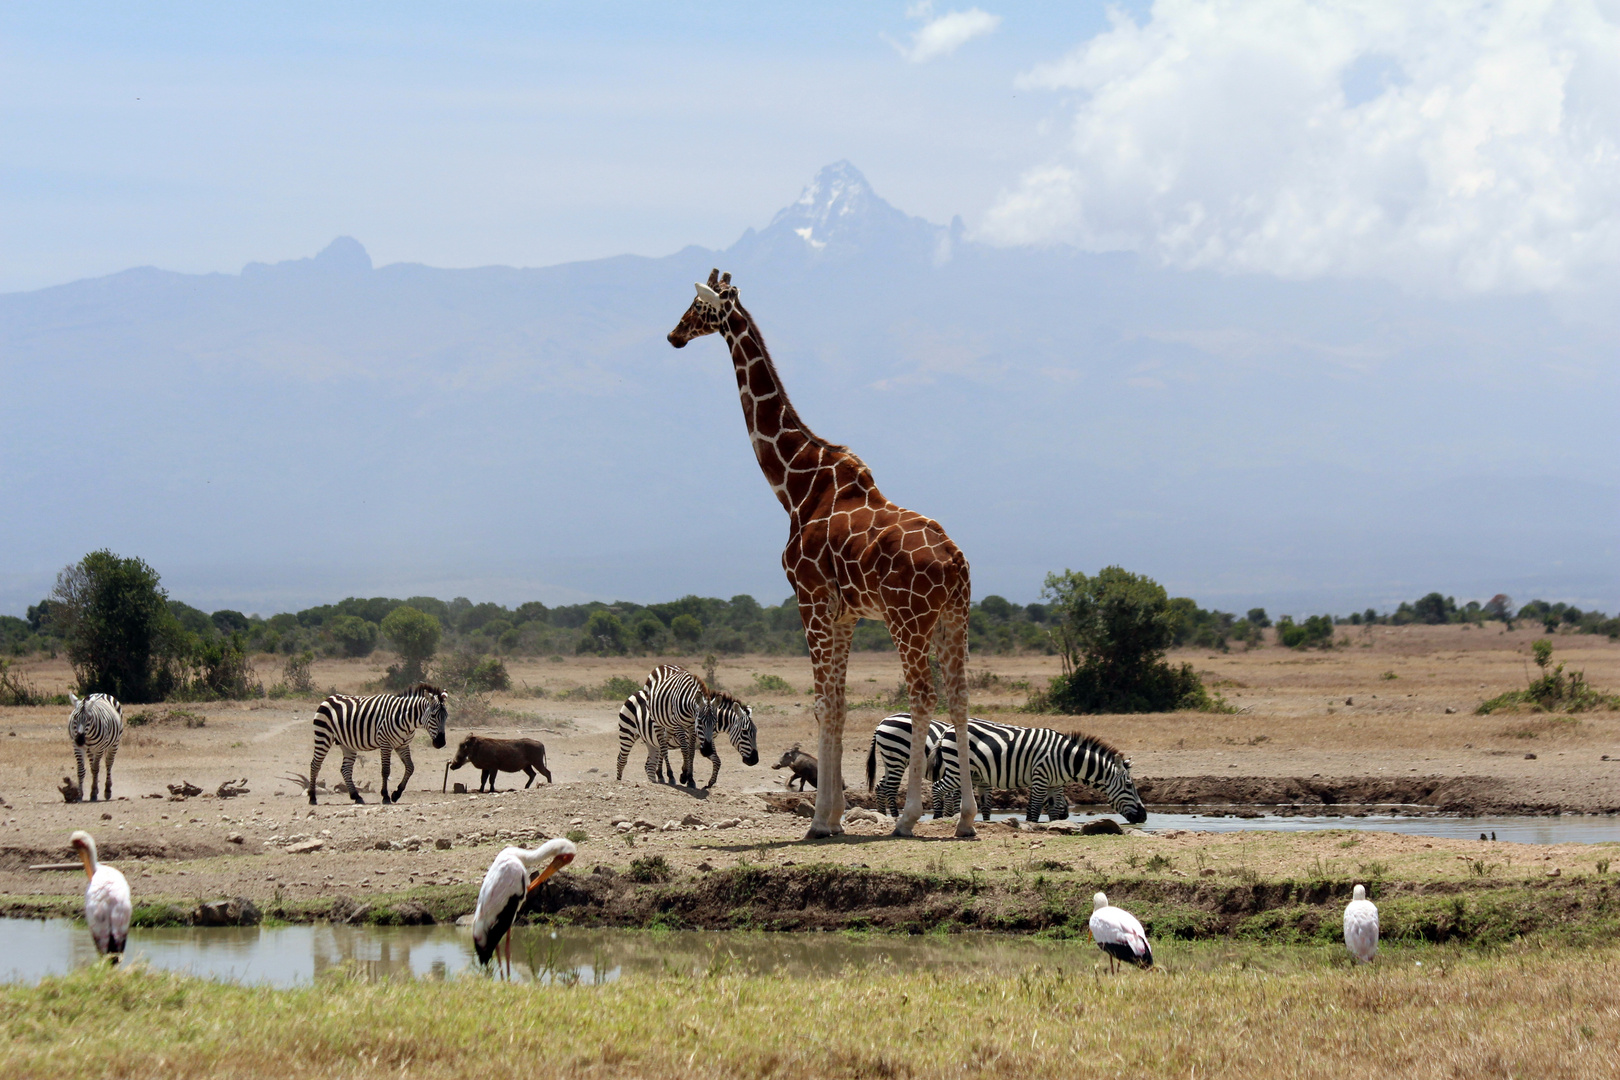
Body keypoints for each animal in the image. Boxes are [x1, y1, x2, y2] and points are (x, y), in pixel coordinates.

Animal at [306, 683, 447, 803]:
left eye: (446, 717)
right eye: (433, 716)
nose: (441, 743)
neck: (406, 719)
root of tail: (329, 698)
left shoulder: (402, 745)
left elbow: (410, 767)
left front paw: (396, 794)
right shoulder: (385, 744)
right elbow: (385, 771)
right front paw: (385, 796)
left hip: (346, 744)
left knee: (345, 769)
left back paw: (356, 796)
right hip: (323, 736)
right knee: (315, 765)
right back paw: (312, 797)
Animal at [667, 270, 978, 841]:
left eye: (698, 307)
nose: (674, 335)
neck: (797, 486)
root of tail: (956, 562)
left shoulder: (809, 598)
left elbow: (819, 702)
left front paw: (818, 821)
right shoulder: (845, 612)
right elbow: (837, 702)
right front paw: (832, 815)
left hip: (908, 618)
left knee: (923, 695)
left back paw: (908, 817)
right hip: (954, 616)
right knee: (960, 695)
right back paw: (966, 820)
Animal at [933, 722, 1146, 822]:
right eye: (1129, 786)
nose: (1144, 817)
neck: (1066, 758)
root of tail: (947, 729)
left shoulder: (1055, 785)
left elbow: (1053, 811)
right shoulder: (1040, 778)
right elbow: (1034, 810)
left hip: (970, 773)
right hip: (956, 770)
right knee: (936, 787)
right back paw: (935, 818)